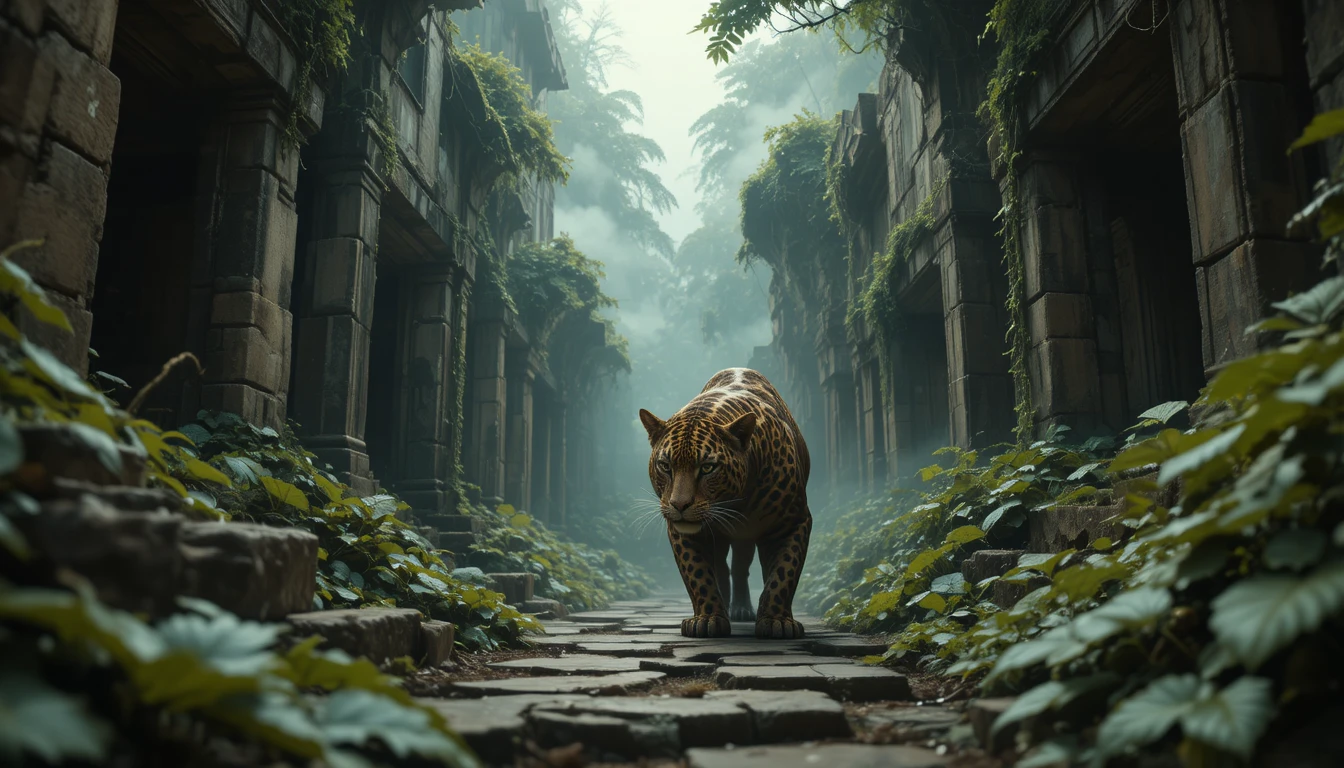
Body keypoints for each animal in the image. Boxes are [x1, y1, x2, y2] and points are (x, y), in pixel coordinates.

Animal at [638, 367, 812, 639]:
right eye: (665, 466)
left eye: (708, 467)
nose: (679, 505)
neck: (734, 504)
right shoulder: (683, 533)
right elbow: (698, 573)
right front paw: (707, 619)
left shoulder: (793, 521)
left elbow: (783, 572)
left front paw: (777, 621)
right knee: (721, 567)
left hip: (749, 535)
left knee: (742, 567)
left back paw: (742, 609)